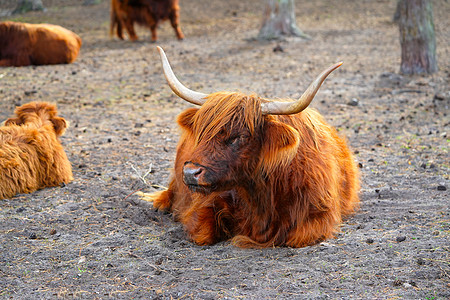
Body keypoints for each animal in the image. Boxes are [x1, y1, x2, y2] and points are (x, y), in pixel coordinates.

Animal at [142, 47, 360, 248]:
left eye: (240, 137)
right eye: (201, 132)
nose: (190, 172)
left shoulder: (318, 216)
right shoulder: (203, 204)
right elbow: (202, 233)